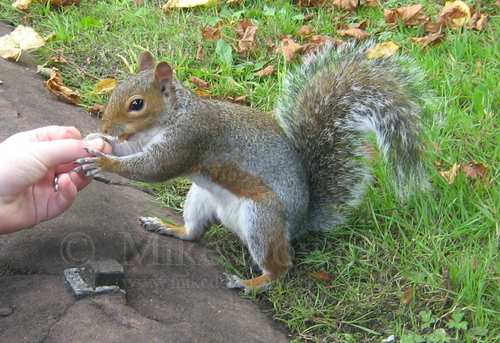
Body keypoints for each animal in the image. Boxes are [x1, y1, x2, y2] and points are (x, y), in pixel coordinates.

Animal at [76, 41, 428, 292]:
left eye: (137, 104)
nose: (105, 125)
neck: (173, 115)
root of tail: (299, 223)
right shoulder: (147, 142)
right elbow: (132, 151)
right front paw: (97, 140)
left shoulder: (189, 140)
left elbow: (152, 168)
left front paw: (102, 160)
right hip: (200, 199)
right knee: (193, 233)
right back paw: (168, 226)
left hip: (262, 218)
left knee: (281, 268)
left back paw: (251, 283)